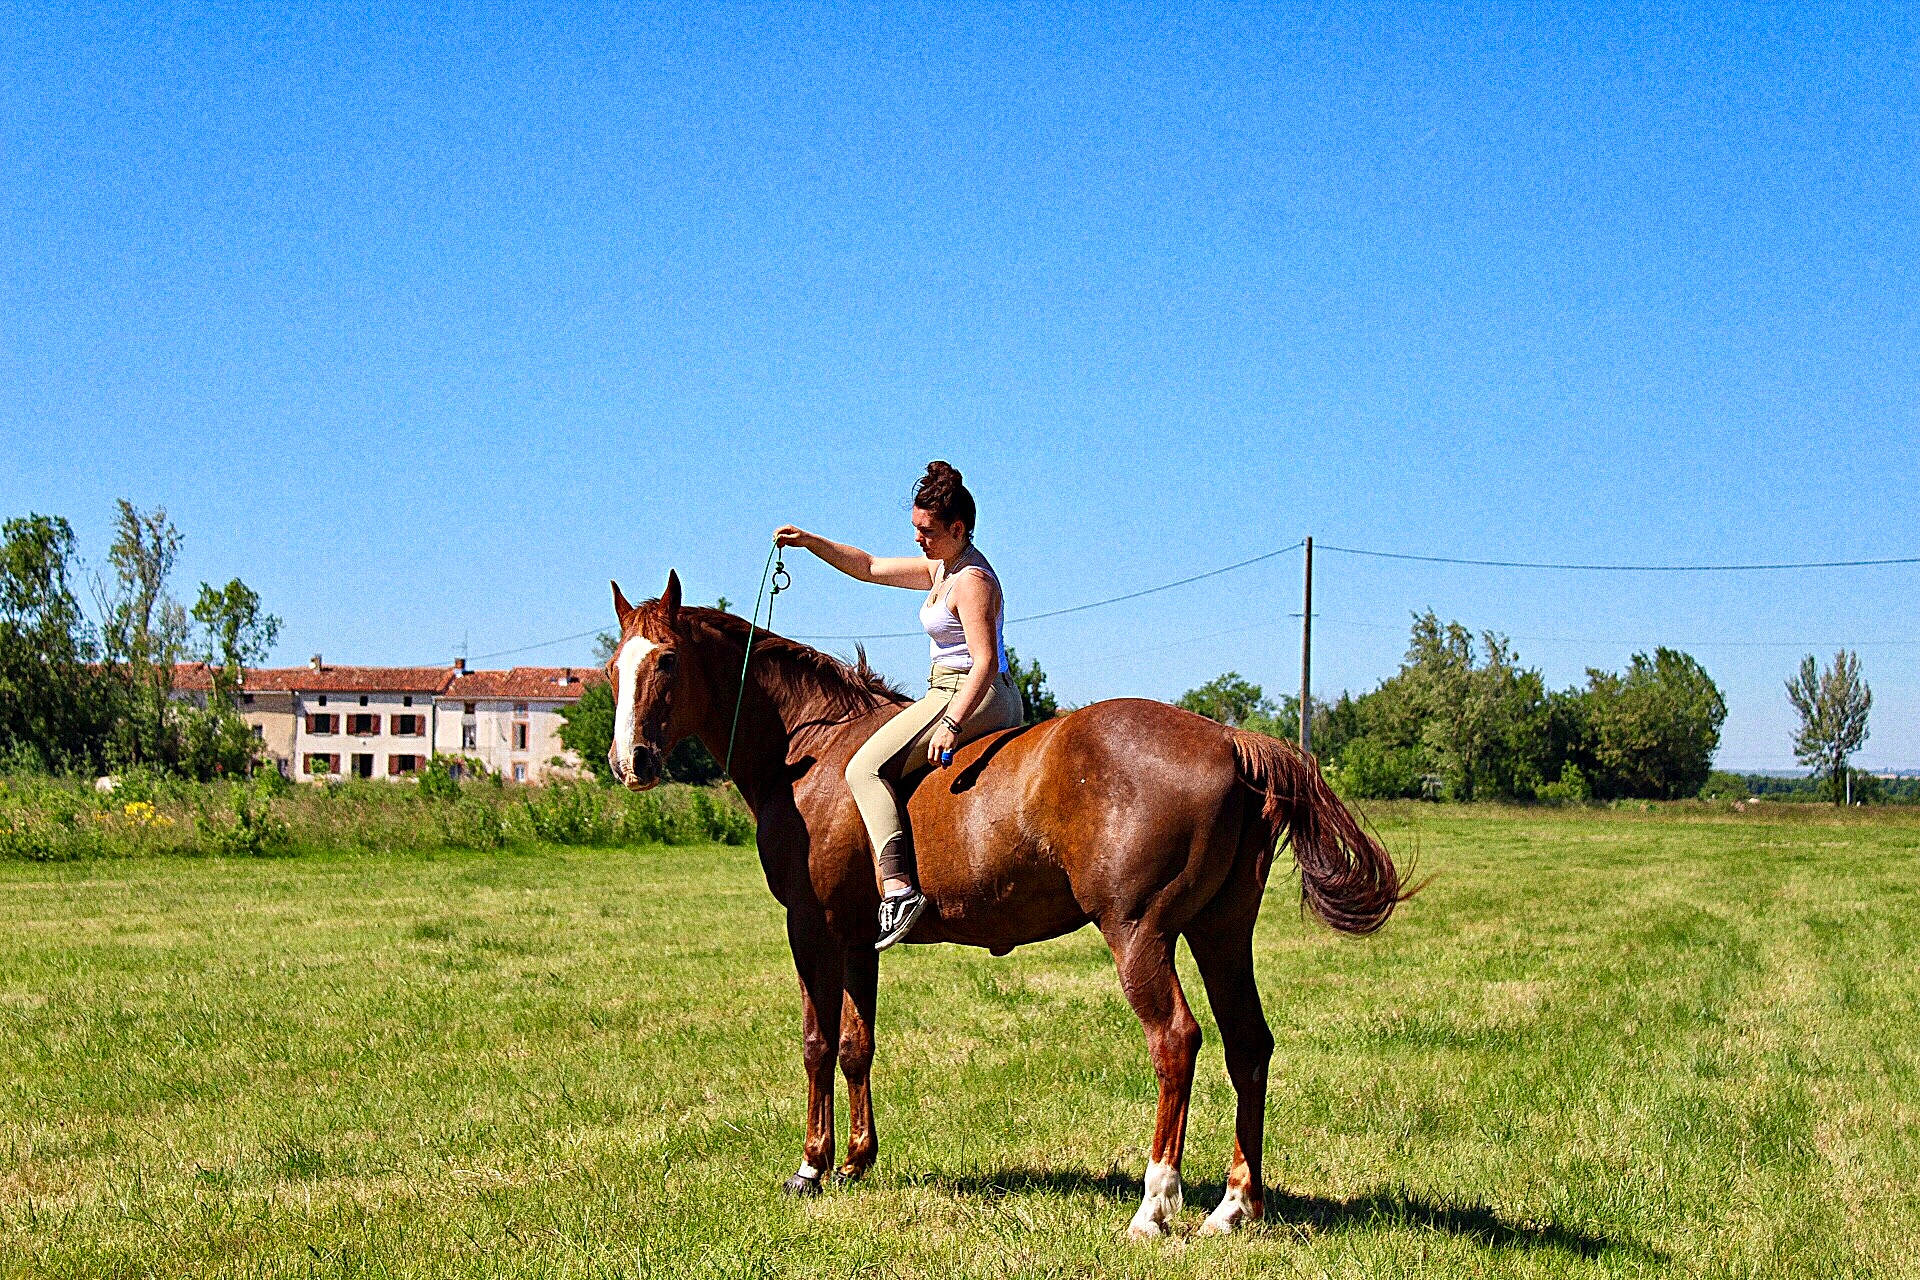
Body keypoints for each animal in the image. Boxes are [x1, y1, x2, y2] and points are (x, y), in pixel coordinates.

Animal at [606, 571, 1409, 1237]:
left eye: (666, 660)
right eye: (616, 668)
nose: (629, 763)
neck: (812, 752)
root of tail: (1229, 739)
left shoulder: (812, 929)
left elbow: (817, 1043)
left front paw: (810, 1167)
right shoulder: (860, 939)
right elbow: (858, 1045)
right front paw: (857, 1160)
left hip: (1140, 936)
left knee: (1177, 1042)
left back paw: (1155, 1205)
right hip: (1221, 934)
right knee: (1249, 1044)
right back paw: (1235, 1205)